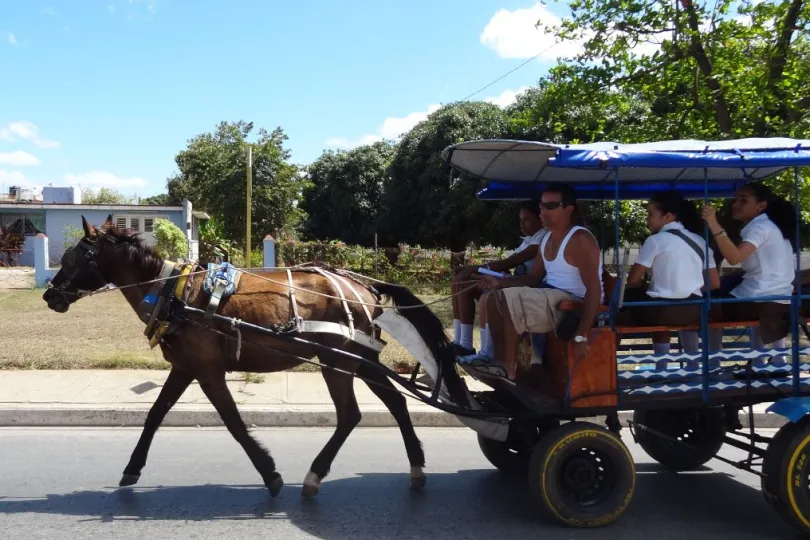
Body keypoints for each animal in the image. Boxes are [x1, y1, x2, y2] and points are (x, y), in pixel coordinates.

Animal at [42, 214, 468, 498]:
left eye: (74, 257)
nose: (50, 295)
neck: (171, 292)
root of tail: (362, 284)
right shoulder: (185, 367)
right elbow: (155, 414)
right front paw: (131, 470)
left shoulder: (207, 371)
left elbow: (233, 422)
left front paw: (270, 474)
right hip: (360, 359)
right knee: (395, 402)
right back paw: (416, 467)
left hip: (338, 362)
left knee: (351, 414)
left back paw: (314, 476)